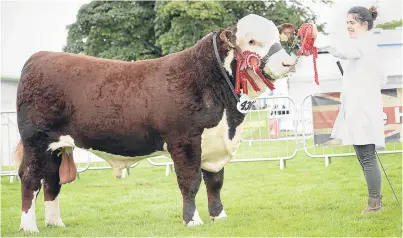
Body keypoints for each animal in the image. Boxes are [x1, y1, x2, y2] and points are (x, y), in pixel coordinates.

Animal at [15, 13, 294, 231]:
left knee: (51, 180)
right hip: (36, 140)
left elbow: (215, 182)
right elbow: (190, 182)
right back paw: (29, 227)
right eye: (251, 41)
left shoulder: (216, 141)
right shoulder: (185, 141)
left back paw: (55, 223)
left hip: (57, 146)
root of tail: (38, 57)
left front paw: (219, 216)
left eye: (278, 39)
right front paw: (192, 220)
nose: (288, 62)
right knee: (30, 177)